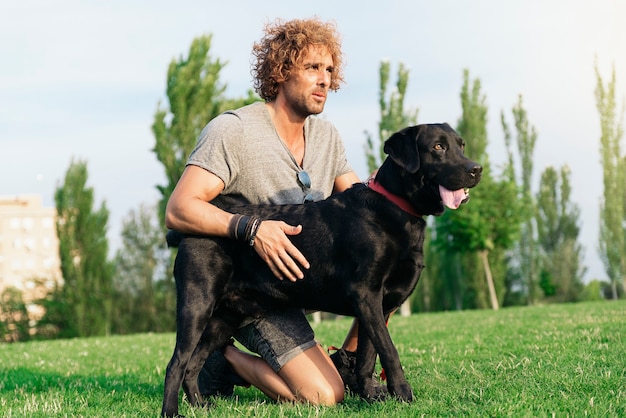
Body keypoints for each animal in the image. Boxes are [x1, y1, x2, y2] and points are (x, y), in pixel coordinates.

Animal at [160, 122, 478, 416]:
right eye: (438, 147)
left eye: (461, 145)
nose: (477, 169)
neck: (394, 208)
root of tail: (184, 233)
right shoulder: (366, 294)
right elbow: (389, 350)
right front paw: (402, 393)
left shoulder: (379, 305)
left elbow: (368, 354)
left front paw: (370, 396)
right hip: (196, 306)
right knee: (176, 363)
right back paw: (171, 411)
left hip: (225, 317)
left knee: (194, 362)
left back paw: (201, 405)